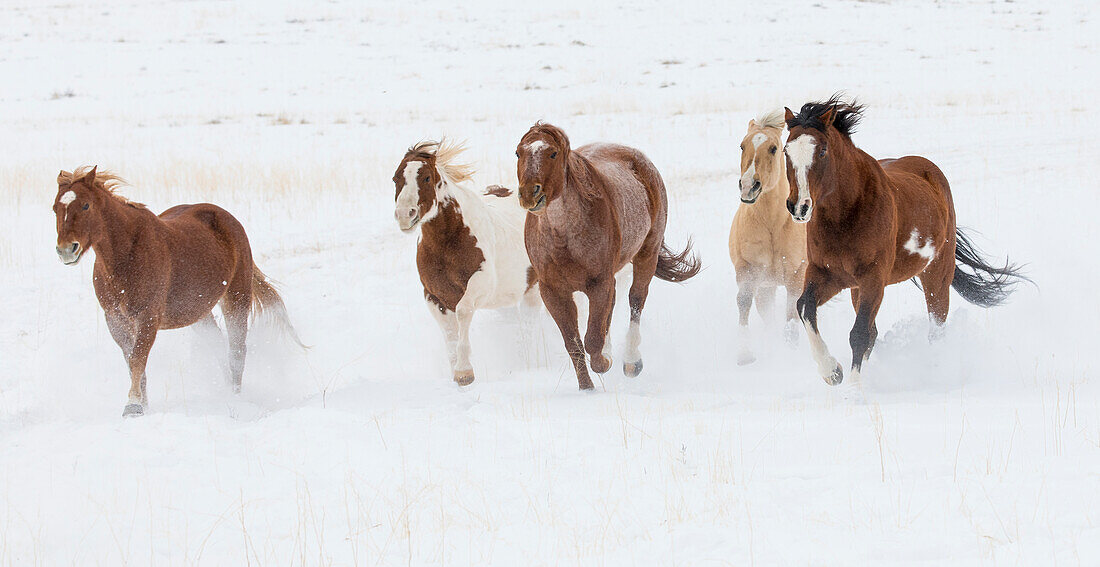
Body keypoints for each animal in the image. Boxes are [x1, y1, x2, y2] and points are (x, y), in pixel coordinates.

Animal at [50, 166, 301, 413]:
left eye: (85, 205)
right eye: (55, 208)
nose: (66, 250)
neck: (127, 255)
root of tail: (229, 220)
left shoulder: (148, 317)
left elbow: (138, 358)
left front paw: (133, 405)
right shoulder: (115, 320)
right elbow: (132, 362)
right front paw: (143, 405)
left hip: (236, 297)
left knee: (237, 351)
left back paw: (236, 398)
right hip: (199, 313)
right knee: (219, 346)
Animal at [393, 139, 539, 385]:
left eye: (426, 178)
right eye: (396, 178)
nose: (405, 214)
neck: (446, 244)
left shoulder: (481, 284)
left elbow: (462, 312)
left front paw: (464, 372)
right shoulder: (434, 297)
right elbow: (449, 334)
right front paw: (456, 372)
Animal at [512, 123, 695, 389]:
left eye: (553, 153)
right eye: (518, 153)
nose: (529, 194)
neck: (564, 236)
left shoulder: (599, 283)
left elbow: (593, 339)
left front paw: (605, 361)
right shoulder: (553, 292)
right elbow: (574, 344)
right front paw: (587, 388)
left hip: (647, 254)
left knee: (636, 300)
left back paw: (631, 362)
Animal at [730, 109, 809, 365]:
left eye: (774, 148)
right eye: (742, 146)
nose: (748, 187)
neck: (773, 226)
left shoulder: (797, 274)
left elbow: (793, 312)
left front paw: (791, 349)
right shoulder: (748, 271)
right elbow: (744, 302)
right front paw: (745, 354)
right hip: (767, 286)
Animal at [778, 97, 1025, 387]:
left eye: (823, 151)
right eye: (786, 151)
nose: (799, 207)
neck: (845, 215)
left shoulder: (874, 279)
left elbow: (859, 334)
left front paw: (853, 389)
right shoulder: (828, 275)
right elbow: (805, 308)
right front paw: (832, 372)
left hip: (936, 275)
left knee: (936, 327)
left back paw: (937, 369)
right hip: (857, 288)